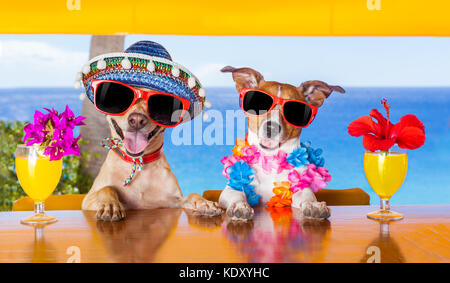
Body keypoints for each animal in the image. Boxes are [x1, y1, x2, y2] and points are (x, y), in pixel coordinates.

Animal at [81, 88, 222, 222]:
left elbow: (192, 195)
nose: (137, 120)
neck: (139, 163)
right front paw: (109, 205)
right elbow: (106, 189)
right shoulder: (87, 200)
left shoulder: (175, 202)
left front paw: (205, 203)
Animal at [218, 66, 344, 222]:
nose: (271, 127)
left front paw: (313, 205)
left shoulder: (300, 189)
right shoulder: (230, 189)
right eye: (259, 102)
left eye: (295, 110)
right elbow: (237, 194)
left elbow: (307, 196)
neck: (270, 160)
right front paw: (239, 206)